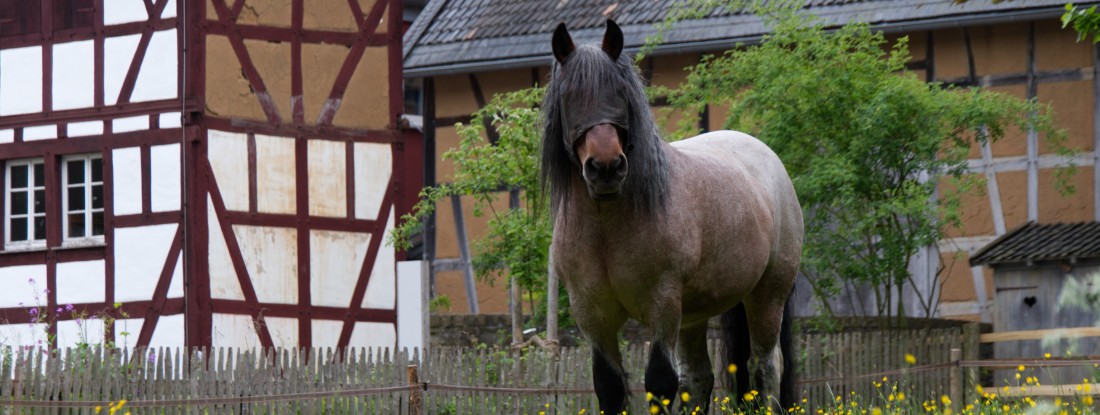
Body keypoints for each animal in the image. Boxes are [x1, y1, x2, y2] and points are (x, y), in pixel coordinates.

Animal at [541, 19, 804, 414]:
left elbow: (660, 382)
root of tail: (769, 159)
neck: (606, 226)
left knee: (765, 367)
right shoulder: (593, 316)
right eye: (569, 97)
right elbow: (609, 386)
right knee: (699, 377)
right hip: (695, 314)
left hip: (767, 297)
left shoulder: (662, 306)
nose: (606, 167)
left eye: (620, 92)